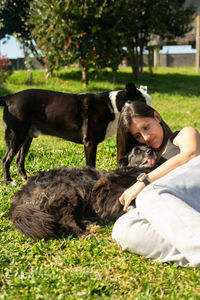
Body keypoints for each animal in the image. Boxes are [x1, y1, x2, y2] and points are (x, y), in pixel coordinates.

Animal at [0, 83, 152, 184]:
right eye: (143, 103)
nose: (153, 113)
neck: (113, 106)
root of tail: (10, 97)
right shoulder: (90, 142)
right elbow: (91, 165)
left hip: (26, 137)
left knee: (19, 160)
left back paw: (24, 178)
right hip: (16, 136)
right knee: (6, 159)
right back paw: (8, 181)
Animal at [9, 144, 156, 240]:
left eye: (148, 147)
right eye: (137, 151)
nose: (151, 150)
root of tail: (20, 195)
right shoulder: (105, 192)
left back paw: (89, 225)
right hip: (67, 193)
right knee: (64, 221)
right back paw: (85, 233)